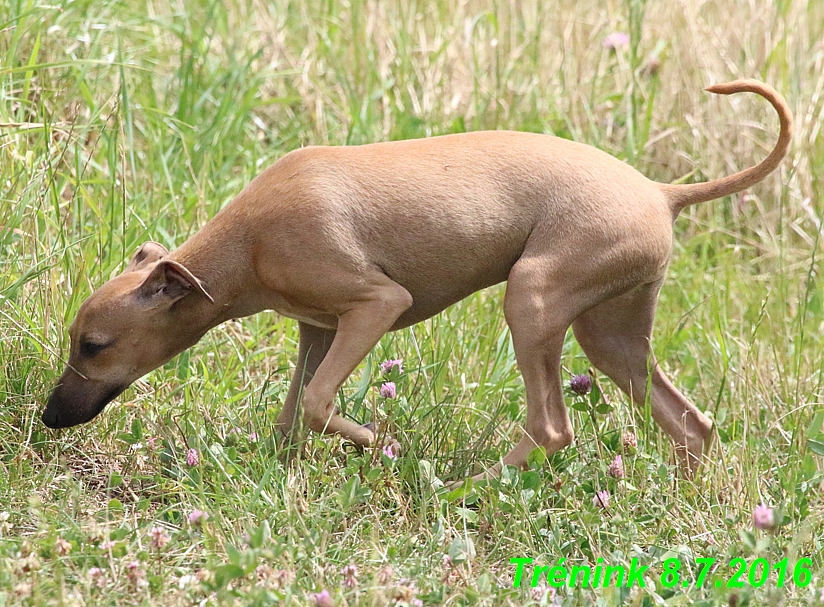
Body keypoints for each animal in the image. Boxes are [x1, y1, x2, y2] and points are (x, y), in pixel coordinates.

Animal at [43, 81, 792, 478]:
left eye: (94, 346)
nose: (49, 417)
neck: (247, 241)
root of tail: (663, 192)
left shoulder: (376, 305)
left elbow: (316, 403)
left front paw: (383, 446)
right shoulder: (319, 328)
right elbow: (289, 418)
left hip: (532, 298)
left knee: (553, 428)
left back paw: (471, 483)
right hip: (609, 335)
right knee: (692, 425)